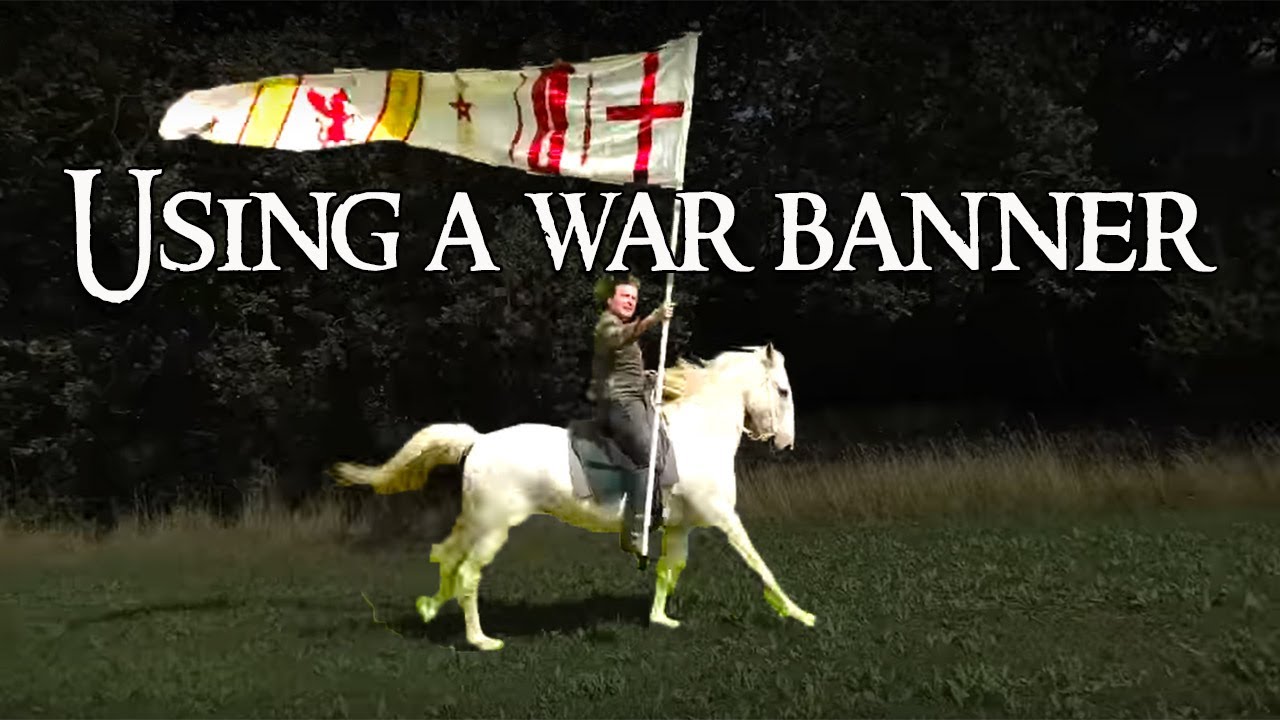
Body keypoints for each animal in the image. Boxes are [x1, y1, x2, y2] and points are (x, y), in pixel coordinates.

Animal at [329, 342, 816, 651]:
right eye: (783, 390)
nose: (787, 442)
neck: (699, 433)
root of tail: (479, 441)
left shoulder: (680, 527)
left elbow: (668, 571)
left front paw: (661, 620)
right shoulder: (723, 516)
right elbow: (758, 563)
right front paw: (799, 614)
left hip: (476, 522)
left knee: (445, 557)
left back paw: (431, 610)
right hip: (493, 528)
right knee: (467, 574)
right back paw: (481, 641)